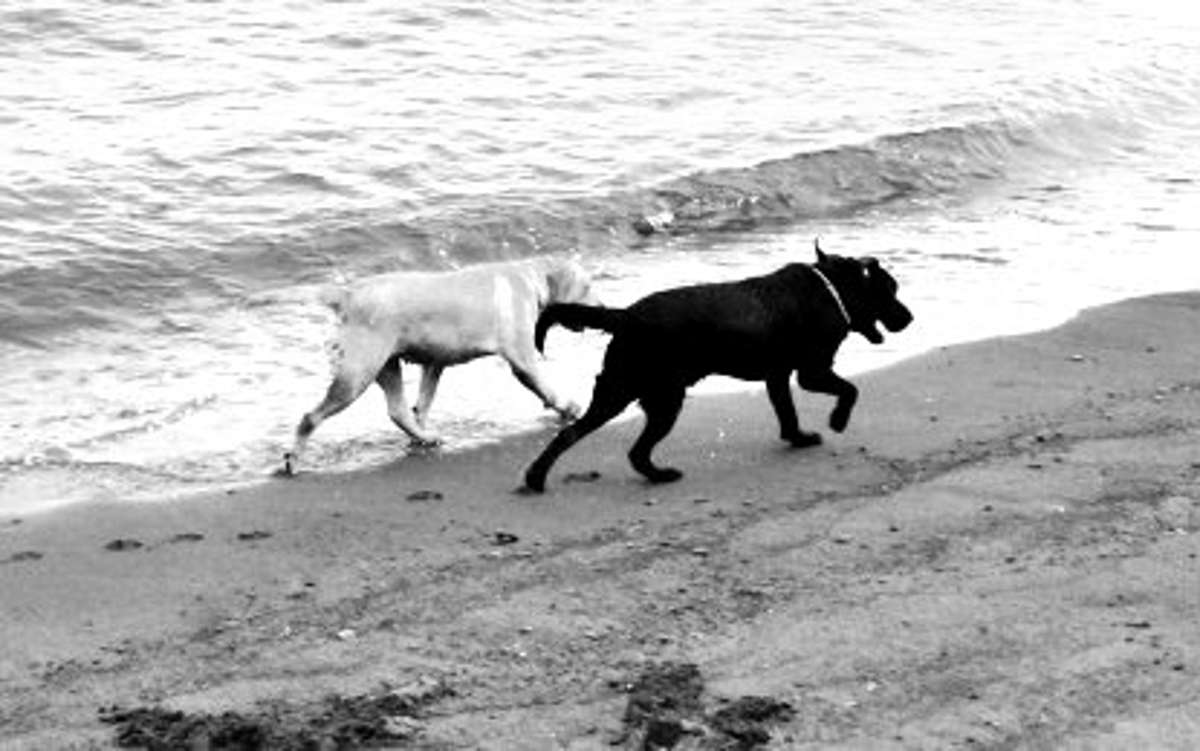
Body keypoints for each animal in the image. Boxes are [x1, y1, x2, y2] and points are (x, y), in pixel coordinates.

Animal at [282, 254, 600, 470]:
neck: (531, 280)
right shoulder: (522, 360)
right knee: (310, 418)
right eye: (586, 287)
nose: (603, 308)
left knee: (398, 411)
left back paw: (425, 438)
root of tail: (348, 294)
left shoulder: (434, 364)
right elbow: (547, 389)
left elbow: (422, 403)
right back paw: (293, 459)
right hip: (357, 374)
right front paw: (569, 407)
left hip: (386, 366)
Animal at [523, 241, 907, 491]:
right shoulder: (812, 372)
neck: (832, 288)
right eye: (891, 290)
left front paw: (797, 438)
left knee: (600, 441)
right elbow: (850, 389)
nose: (910, 318)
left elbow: (788, 413)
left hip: (635, 392)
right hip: (648, 395)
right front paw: (837, 421)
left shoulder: (778, 377)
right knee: (607, 443)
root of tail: (626, 316)